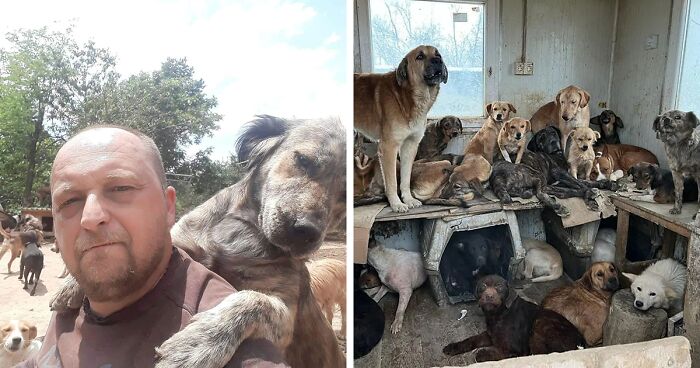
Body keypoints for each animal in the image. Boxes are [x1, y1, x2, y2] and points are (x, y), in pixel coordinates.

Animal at [356, 45, 448, 213]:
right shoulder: (388, 148)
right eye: (420, 56)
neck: (408, 97)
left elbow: (405, 178)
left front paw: (408, 199)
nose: (438, 61)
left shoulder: (410, 146)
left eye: (437, 54)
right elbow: (392, 181)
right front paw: (396, 204)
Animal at [442, 274, 584, 360]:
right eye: (483, 286)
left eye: (499, 287)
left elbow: (502, 352)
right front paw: (453, 347)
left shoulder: (515, 349)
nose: (489, 296)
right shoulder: (490, 335)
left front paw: (482, 353)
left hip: (540, 323)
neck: (499, 315)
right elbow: (472, 339)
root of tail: (582, 345)